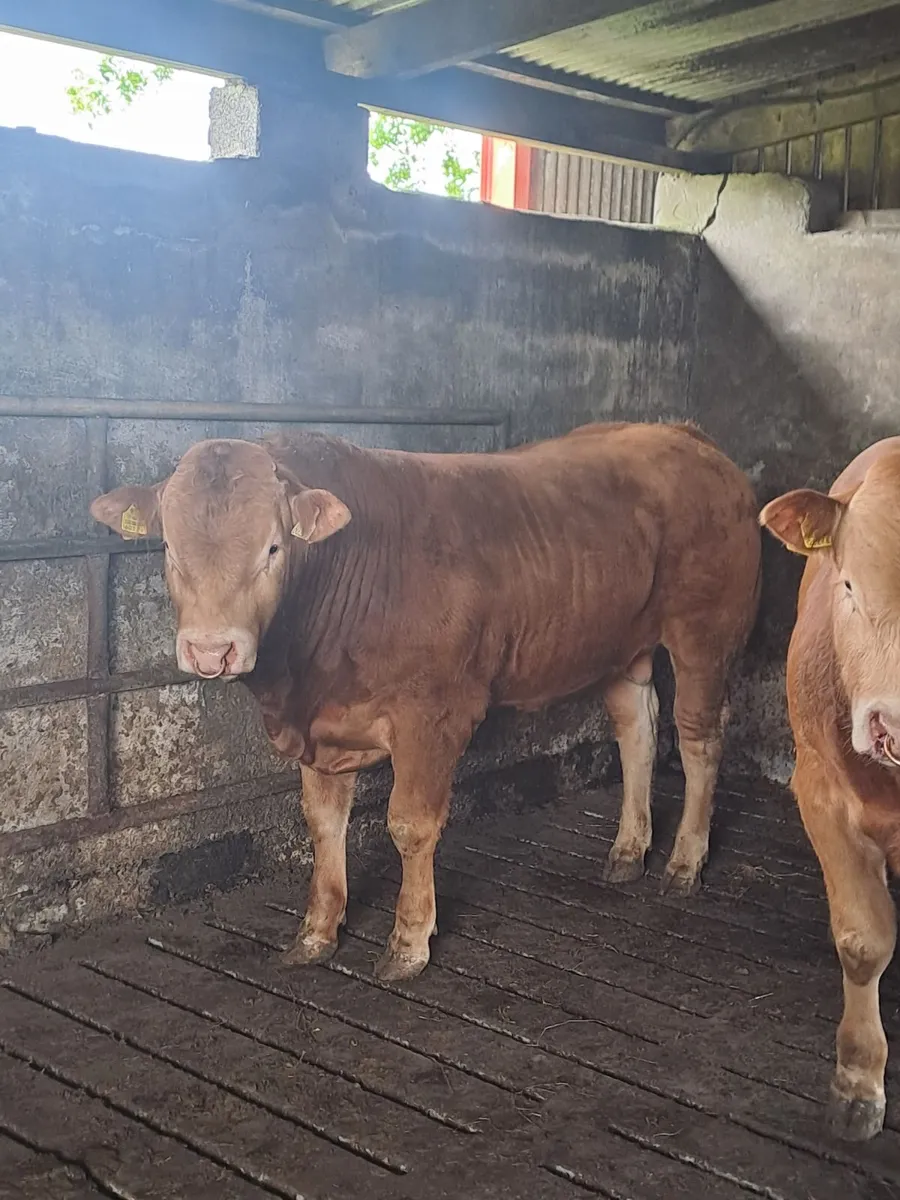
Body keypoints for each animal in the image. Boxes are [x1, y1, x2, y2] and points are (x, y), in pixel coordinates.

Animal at [91, 421, 761, 983]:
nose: (212, 650)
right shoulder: (322, 726)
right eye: (169, 549)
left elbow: (410, 825)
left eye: (273, 549)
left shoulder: (434, 715)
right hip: (622, 643)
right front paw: (316, 933)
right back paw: (628, 849)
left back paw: (685, 863)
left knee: (699, 739)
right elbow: (322, 823)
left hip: (706, 632)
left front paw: (409, 942)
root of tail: (684, 435)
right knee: (637, 732)